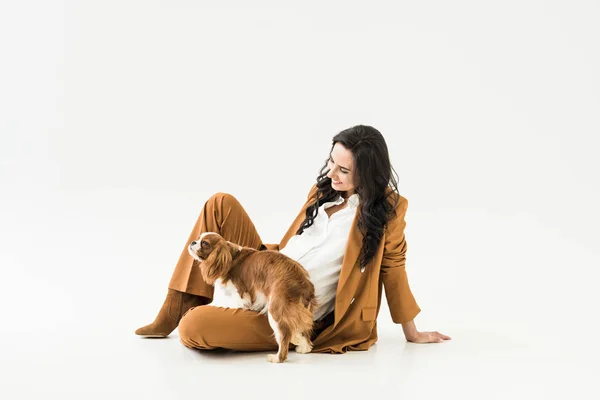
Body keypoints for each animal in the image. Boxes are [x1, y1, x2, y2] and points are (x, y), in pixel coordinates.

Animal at [188, 230, 318, 364]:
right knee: (304, 333)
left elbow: (221, 302)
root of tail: (305, 285)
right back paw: (303, 348)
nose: (193, 242)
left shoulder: (240, 297)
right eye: (198, 238)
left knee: (284, 335)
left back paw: (277, 358)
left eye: (204, 243)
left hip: (276, 308)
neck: (230, 257)